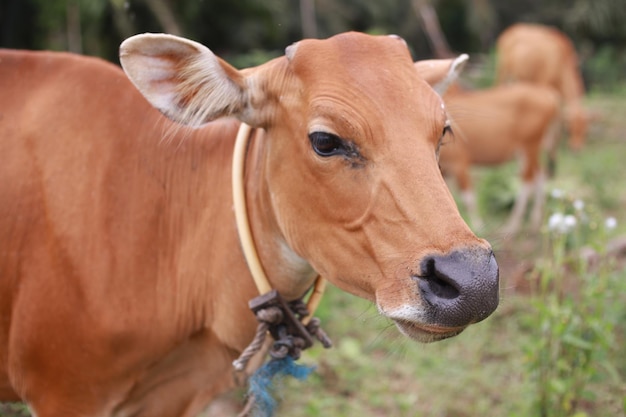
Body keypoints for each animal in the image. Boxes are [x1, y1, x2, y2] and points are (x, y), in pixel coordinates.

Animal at [436, 81, 560, 234]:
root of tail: (548, 94)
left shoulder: (460, 164)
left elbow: (468, 200)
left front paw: (477, 225)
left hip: (529, 146)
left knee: (528, 180)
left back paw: (512, 225)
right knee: (540, 174)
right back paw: (535, 222)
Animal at [492, 22, 584, 173]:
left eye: (584, 129)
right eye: (571, 128)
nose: (576, 149)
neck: (562, 59)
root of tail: (510, 31)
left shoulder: (558, 97)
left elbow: (557, 123)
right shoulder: (544, 85)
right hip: (504, 73)